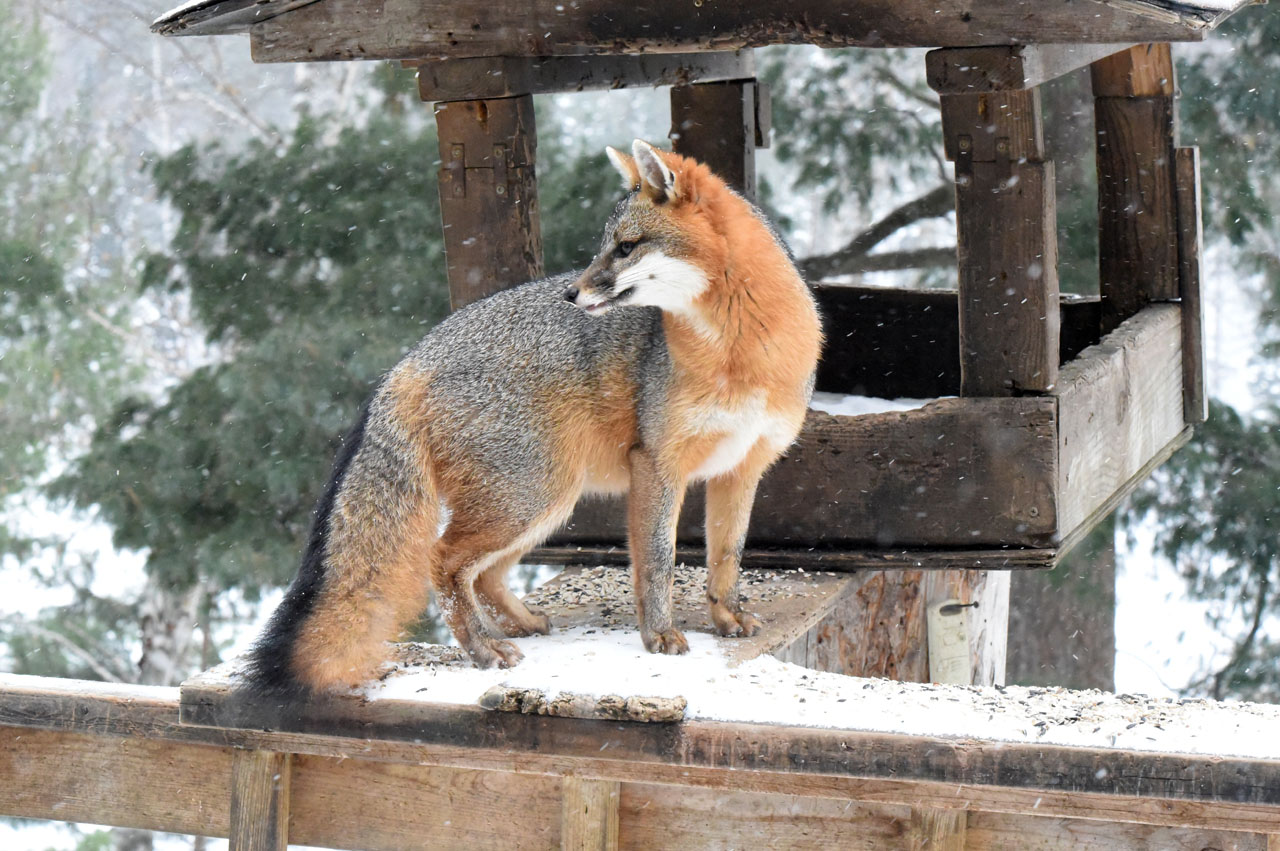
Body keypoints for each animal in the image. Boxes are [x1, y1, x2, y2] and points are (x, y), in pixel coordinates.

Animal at [245, 139, 823, 695]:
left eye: (627, 246)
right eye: (607, 245)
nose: (571, 293)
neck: (740, 356)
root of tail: (408, 362)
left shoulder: (743, 468)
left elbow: (727, 556)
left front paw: (727, 618)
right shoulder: (657, 463)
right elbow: (657, 561)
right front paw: (658, 634)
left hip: (545, 503)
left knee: (484, 576)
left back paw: (521, 624)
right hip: (535, 496)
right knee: (444, 560)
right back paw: (482, 649)